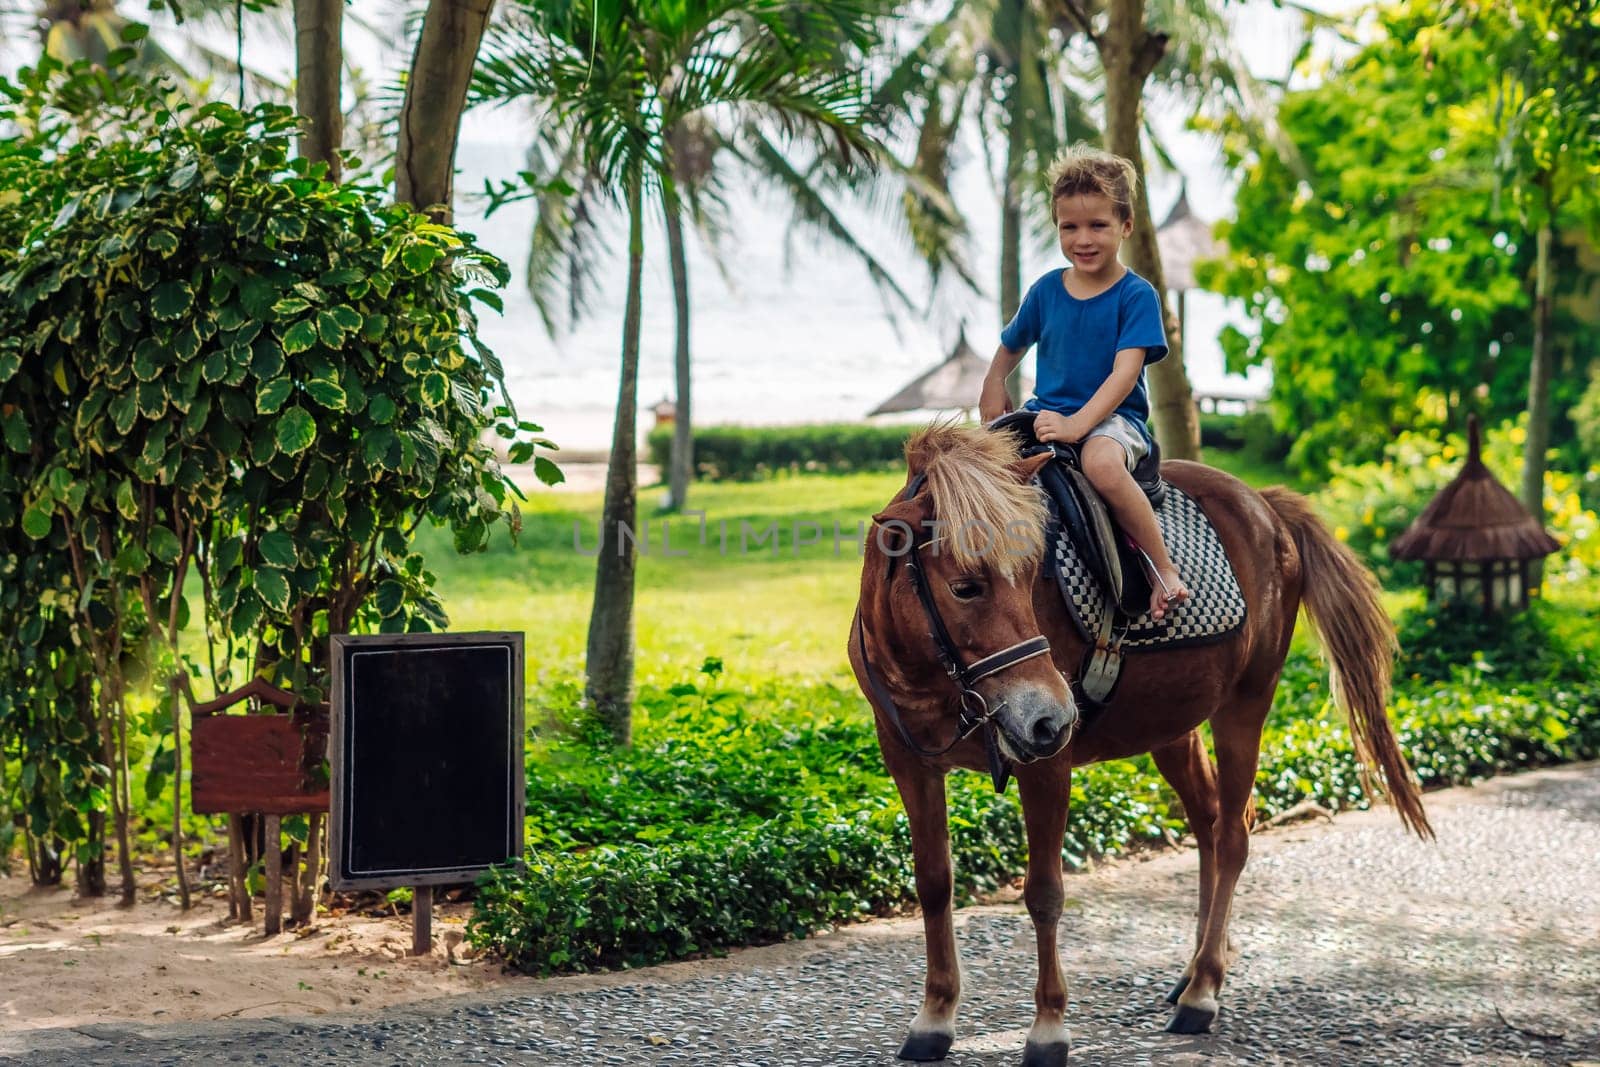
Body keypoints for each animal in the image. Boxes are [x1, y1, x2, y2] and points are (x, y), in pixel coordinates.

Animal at [844, 425, 1433, 1067]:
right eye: (964, 587)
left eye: (1030, 576)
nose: (1053, 714)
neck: (936, 678)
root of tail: (1265, 505)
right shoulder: (908, 761)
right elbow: (933, 883)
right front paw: (934, 1016)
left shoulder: (1047, 762)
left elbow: (1044, 892)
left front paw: (1049, 1027)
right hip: (1173, 725)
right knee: (1210, 821)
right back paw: (1200, 966)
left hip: (1247, 701)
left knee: (1232, 835)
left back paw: (1202, 991)